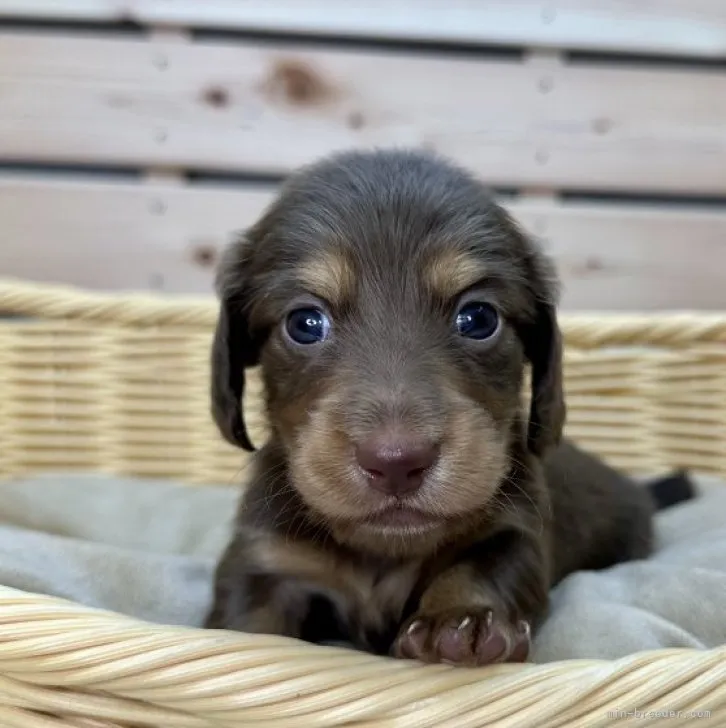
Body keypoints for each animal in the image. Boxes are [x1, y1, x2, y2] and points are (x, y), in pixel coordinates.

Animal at [203, 148, 660, 664]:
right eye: (304, 322)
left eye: (478, 318)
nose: (396, 463)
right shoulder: (266, 559)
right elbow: (250, 617)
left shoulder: (514, 531)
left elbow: (481, 567)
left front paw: (461, 620)